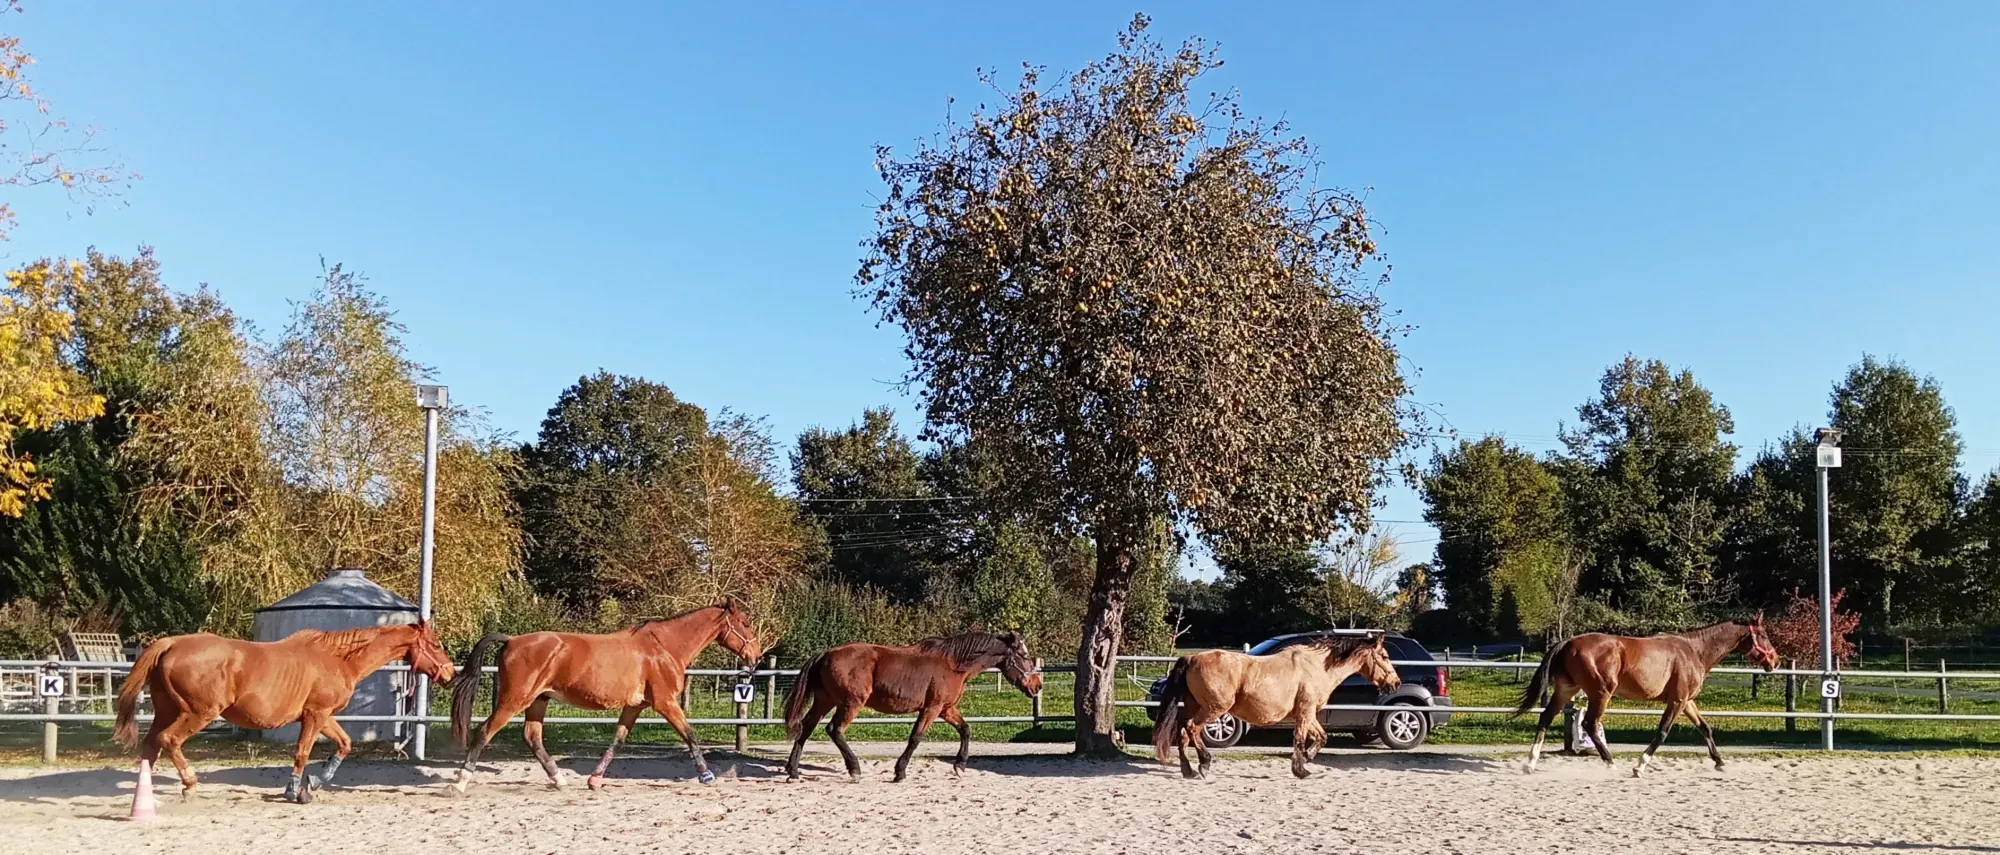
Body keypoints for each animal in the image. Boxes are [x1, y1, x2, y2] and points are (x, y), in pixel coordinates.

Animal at [112, 620, 456, 818]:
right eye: (436, 644)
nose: (450, 673)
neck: (337, 658)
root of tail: (171, 642)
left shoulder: (323, 716)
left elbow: (344, 745)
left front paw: (315, 782)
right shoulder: (316, 715)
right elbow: (302, 753)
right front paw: (297, 791)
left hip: (166, 711)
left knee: (150, 749)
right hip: (198, 712)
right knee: (169, 741)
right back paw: (190, 785)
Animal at [449, 599, 763, 792]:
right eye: (746, 623)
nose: (756, 656)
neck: (664, 646)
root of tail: (512, 640)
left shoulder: (635, 706)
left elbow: (618, 740)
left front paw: (595, 780)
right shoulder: (665, 703)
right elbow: (689, 734)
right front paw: (706, 775)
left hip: (538, 700)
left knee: (532, 737)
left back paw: (560, 780)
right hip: (515, 699)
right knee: (485, 731)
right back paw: (460, 783)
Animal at [782, 631, 1043, 783]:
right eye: (1024, 656)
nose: (1037, 685)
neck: (954, 664)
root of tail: (825, 653)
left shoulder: (946, 708)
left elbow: (965, 729)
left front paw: (960, 766)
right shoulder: (931, 708)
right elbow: (916, 738)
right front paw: (900, 772)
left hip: (825, 701)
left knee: (806, 728)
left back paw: (793, 772)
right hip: (850, 704)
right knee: (834, 730)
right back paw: (854, 769)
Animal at [1152, 632, 1401, 780]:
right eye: (1385, 656)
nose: (1396, 683)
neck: (1317, 667)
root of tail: (1192, 658)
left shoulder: (1309, 714)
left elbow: (1321, 737)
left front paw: (1307, 759)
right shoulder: (1305, 712)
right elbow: (1299, 740)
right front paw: (1301, 770)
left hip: (1196, 706)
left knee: (1183, 732)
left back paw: (1188, 770)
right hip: (1214, 709)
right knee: (1191, 729)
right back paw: (1204, 765)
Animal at [1514, 616, 1780, 776]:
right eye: (1764, 635)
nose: (1775, 661)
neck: (1694, 651)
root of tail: (1569, 641)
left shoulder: (1687, 701)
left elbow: (1705, 728)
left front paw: (1720, 762)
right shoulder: (1677, 701)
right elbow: (1662, 732)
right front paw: (1640, 766)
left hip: (1566, 689)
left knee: (1545, 718)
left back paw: (1530, 763)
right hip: (1600, 693)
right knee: (1590, 724)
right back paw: (1610, 762)